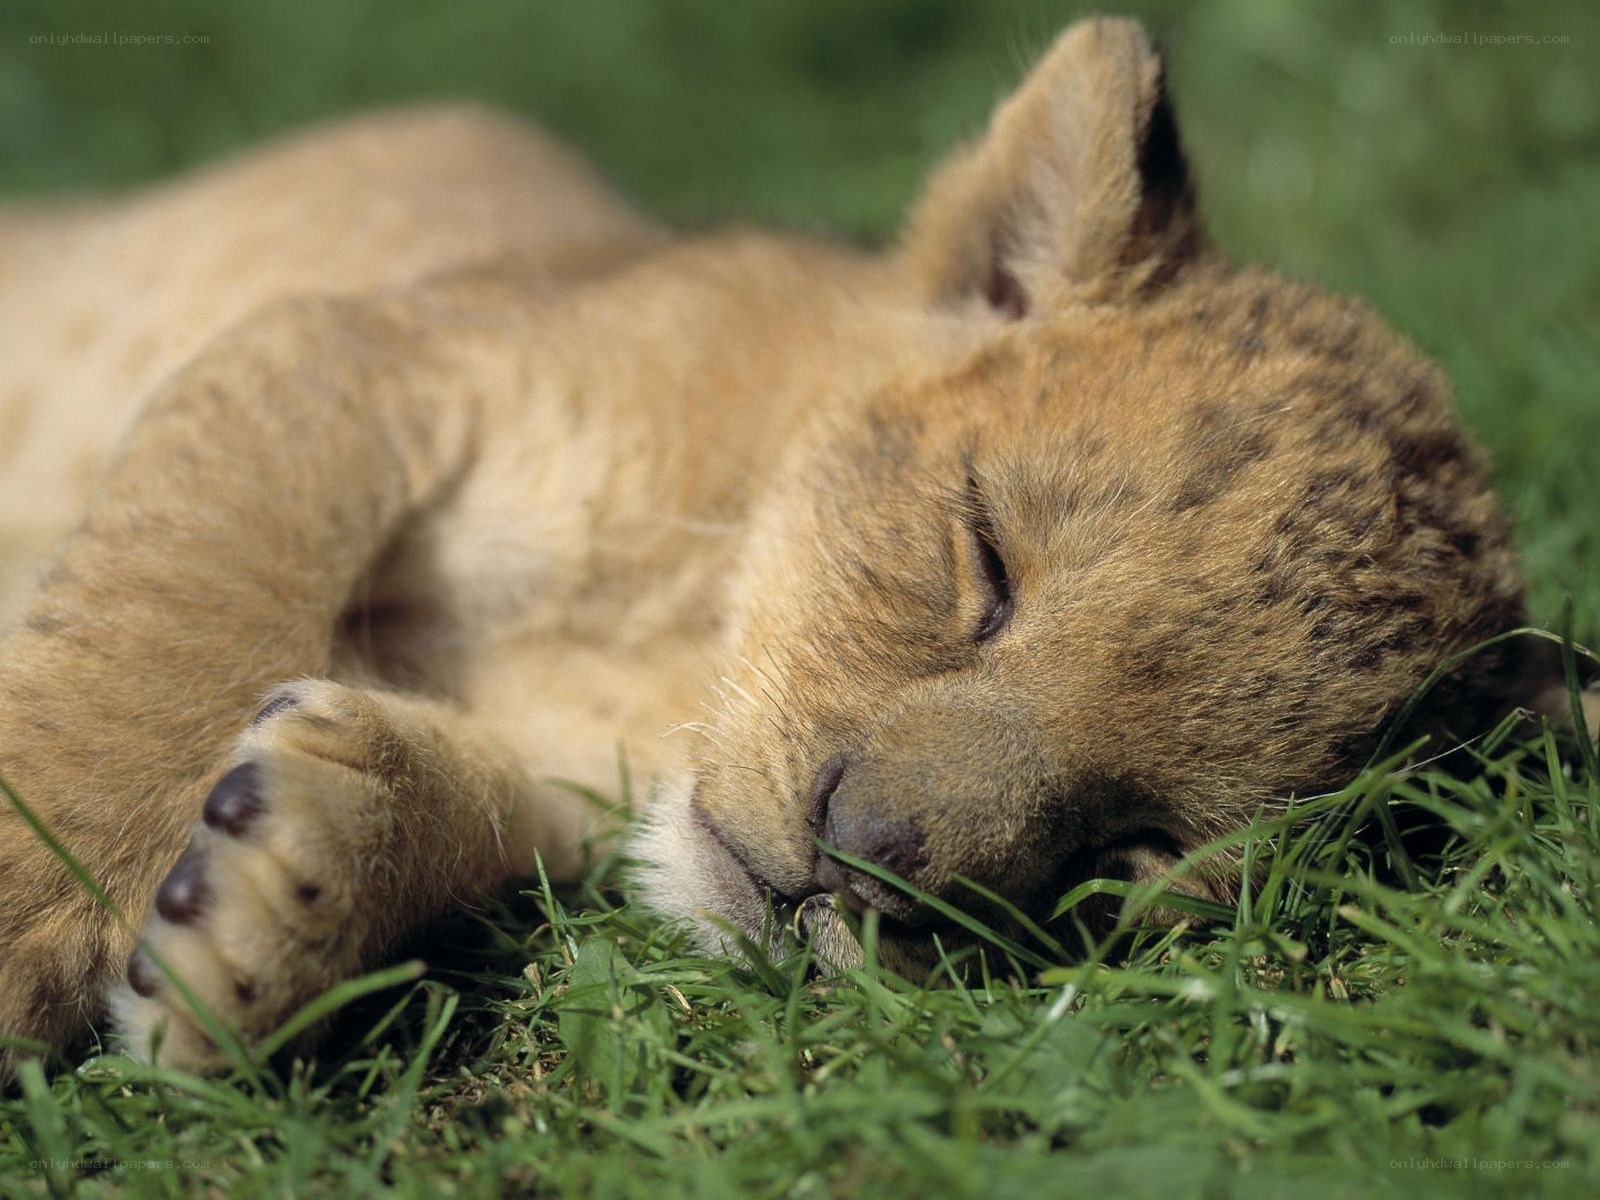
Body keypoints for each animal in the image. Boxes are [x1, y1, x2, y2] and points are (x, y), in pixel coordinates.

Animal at [0, 17, 1583, 1078]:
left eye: (1137, 846)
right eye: (985, 563)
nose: (864, 867)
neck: (671, 646)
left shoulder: (566, 787)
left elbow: (462, 803)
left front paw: (281, 896)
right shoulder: (354, 351)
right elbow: (170, 624)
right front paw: (32, 914)